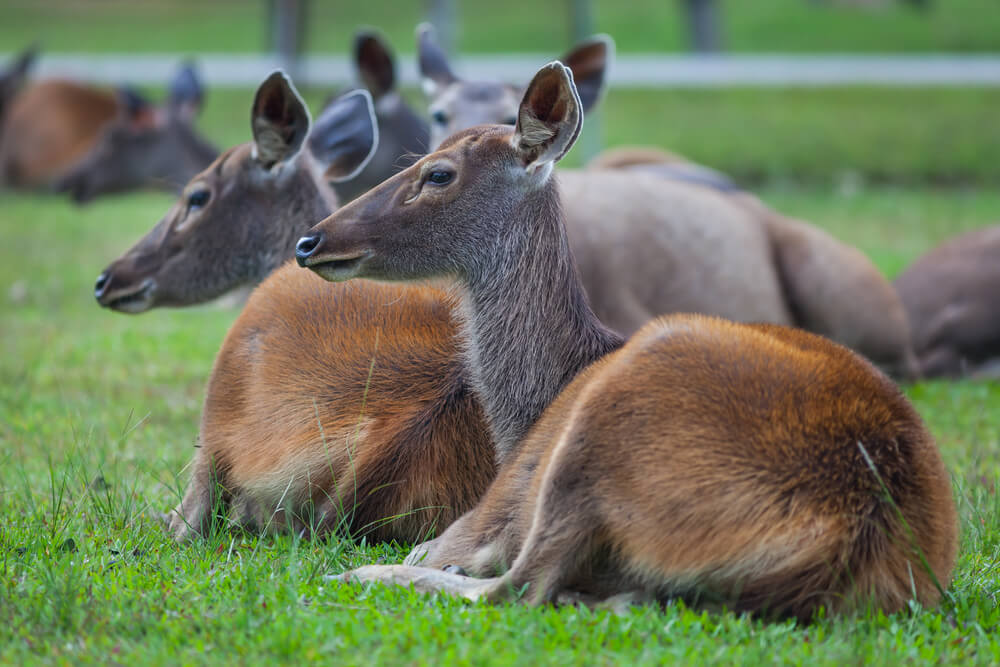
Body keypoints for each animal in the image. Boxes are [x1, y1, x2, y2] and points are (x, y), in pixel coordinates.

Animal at [297, 62, 957, 620]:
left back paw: (361, 574)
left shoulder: (491, 507)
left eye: (438, 174)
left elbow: (440, 551)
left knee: (518, 585)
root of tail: (853, 534)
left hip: (601, 431)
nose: (310, 240)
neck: (523, 419)